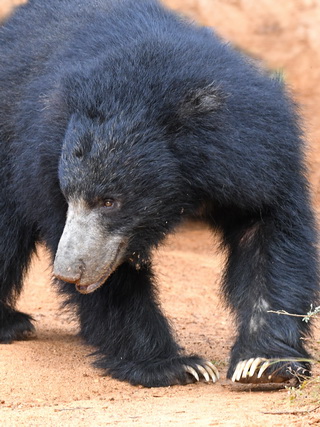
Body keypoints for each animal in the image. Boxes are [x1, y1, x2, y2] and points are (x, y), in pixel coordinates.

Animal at [0, 0, 318, 388]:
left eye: (110, 202)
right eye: (69, 195)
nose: (68, 273)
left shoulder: (259, 158)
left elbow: (268, 237)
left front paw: (263, 364)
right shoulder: (42, 158)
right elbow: (116, 284)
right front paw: (175, 365)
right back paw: (13, 323)